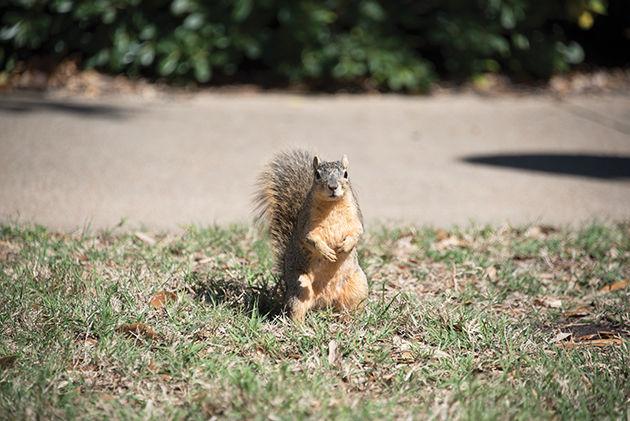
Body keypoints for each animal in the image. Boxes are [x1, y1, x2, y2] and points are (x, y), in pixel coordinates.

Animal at [254, 149, 368, 320]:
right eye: (317, 175)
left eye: (346, 174)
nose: (333, 187)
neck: (332, 206)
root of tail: (324, 302)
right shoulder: (305, 224)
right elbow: (309, 239)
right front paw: (326, 251)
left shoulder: (355, 217)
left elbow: (358, 233)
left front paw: (345, 246)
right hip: (299, 290)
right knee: (297, 308)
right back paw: (298, 324)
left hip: (358, 286)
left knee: (351, 306)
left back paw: (351, 318)